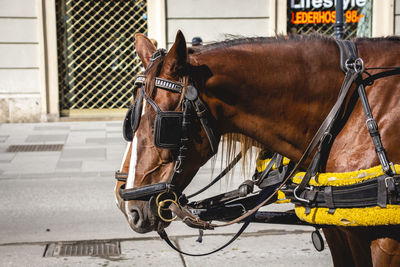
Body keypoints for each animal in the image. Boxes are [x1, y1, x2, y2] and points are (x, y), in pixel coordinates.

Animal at [115, 31, 400, 267]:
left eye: (162, 126)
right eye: (130, 122)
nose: (129, 207)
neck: (347, 108)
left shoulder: (386, 241)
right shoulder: (338, 229)